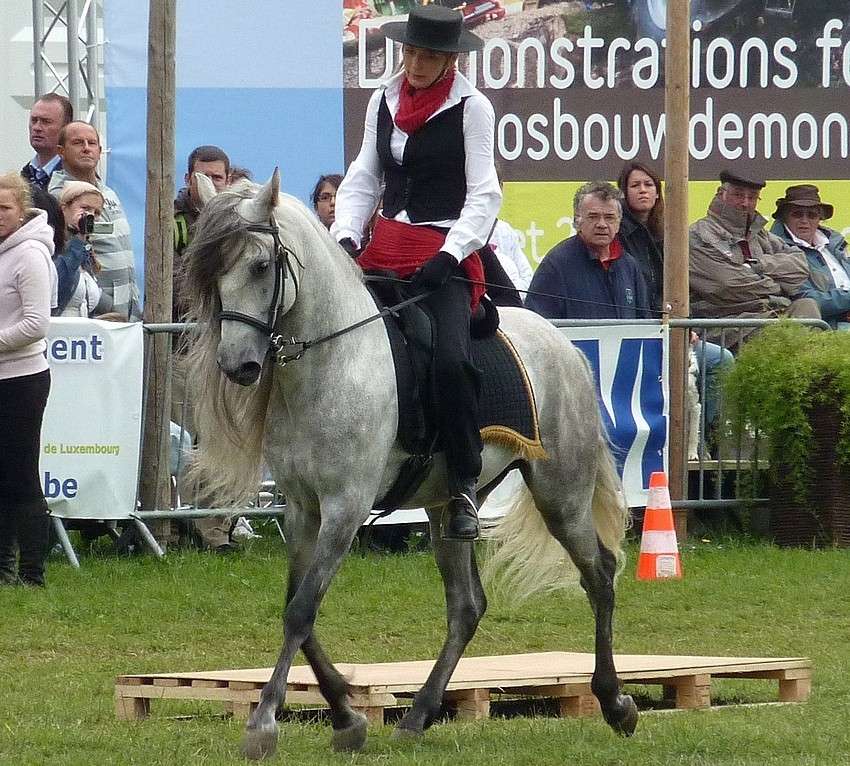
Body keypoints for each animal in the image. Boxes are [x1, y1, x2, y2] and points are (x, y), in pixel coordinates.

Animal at [184, 171, 636, 760]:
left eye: (261, 266)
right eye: (212, 273)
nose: (237, 366)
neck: (335, 362)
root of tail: (563, 342)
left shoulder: (345, 507)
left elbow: (302, 609)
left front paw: (263, 724)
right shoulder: (302, 508)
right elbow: (298, 607)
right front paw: (347, 715)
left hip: (561, 493)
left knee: (598, 574)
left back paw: (615, 703)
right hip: (450, 506)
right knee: (467, 605)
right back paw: (419, 714)